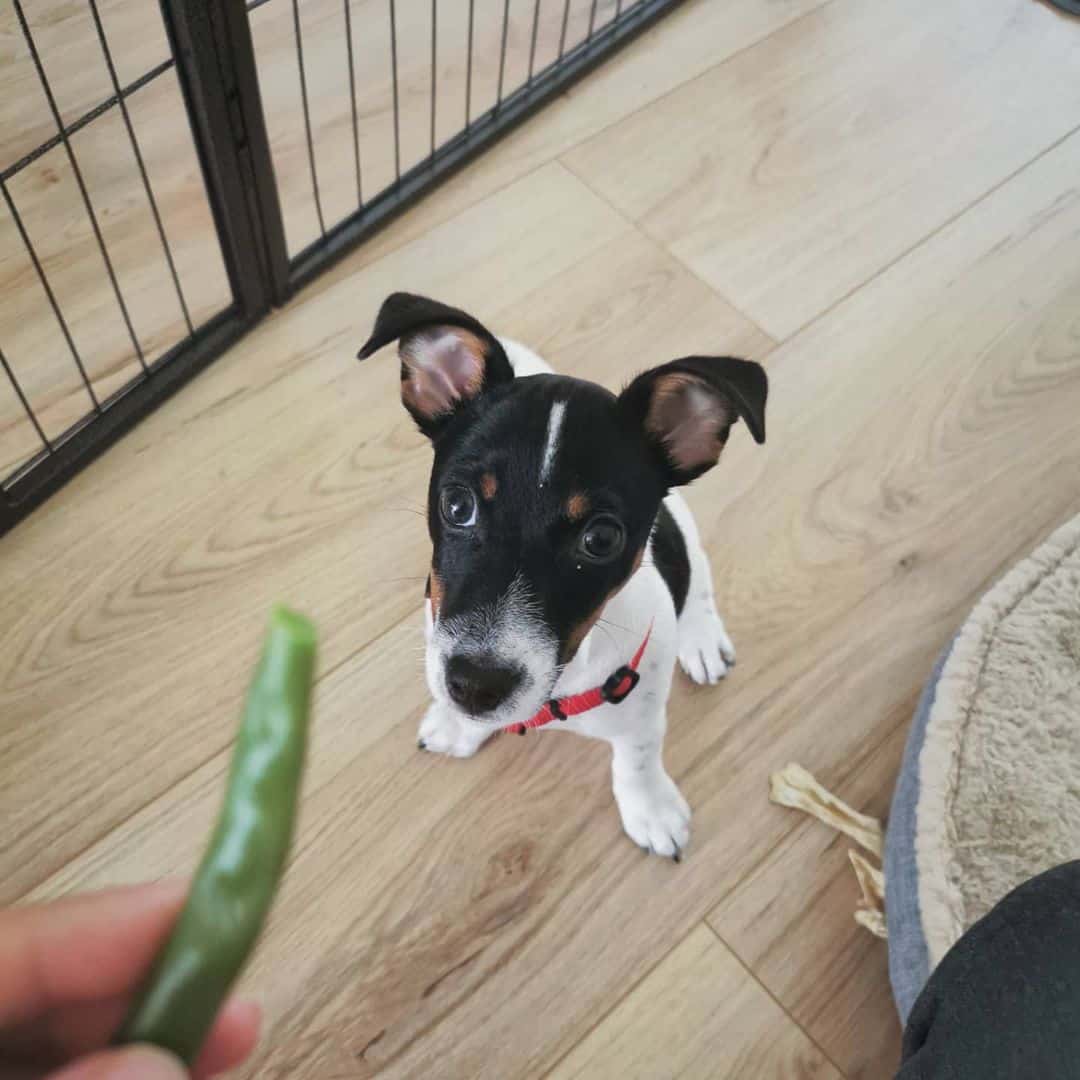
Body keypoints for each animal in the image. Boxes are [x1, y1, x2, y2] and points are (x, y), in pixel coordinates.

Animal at [362, 293, 768, 859]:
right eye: (458, 505)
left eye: (601, 539)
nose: (476, 687)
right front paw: (457, 723)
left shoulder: (642, 706)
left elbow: (637, 758)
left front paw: (651, 809)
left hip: (684, 538)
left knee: (699, 583)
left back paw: (703, 639)